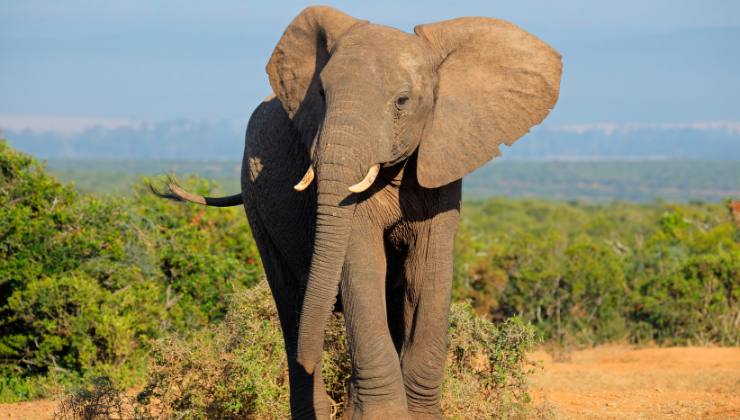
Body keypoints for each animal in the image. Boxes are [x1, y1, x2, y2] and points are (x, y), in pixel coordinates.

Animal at [156, 6, 561, 419]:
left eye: (402, 101)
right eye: (320, 93)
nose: (310, 356)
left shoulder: (443, 160)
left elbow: (427, 272)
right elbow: (363, 266)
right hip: (255, 198)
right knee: (290, 301)